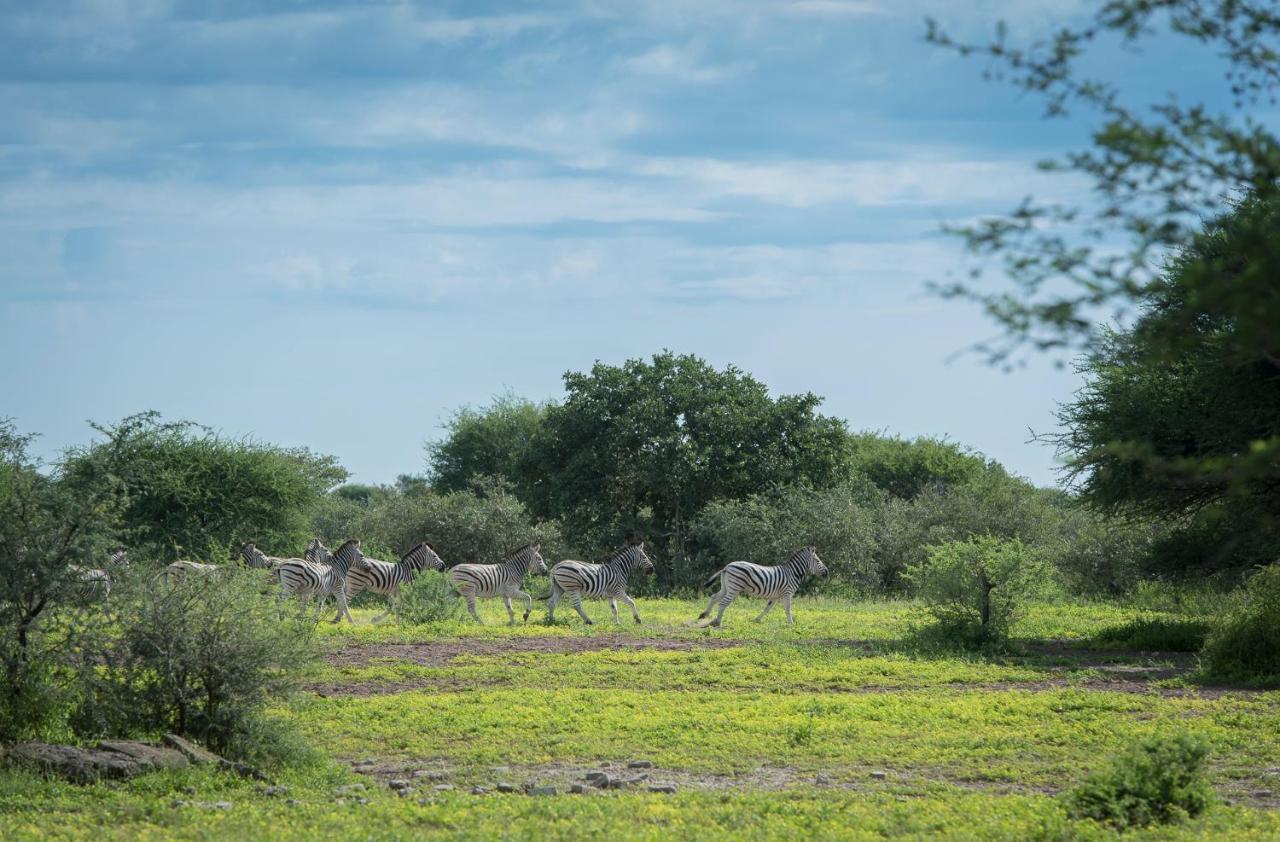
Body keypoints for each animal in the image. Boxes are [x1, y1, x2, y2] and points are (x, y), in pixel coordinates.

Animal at [701, 545, 829, 621]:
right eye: (818, 561)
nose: (827, 572)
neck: (792, 573)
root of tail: (726, 567)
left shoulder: (775, 596)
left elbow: (767, 608)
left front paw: (757, 620)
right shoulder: (787, 593)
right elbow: (788, 609)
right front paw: (791, 624)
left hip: (726, 587)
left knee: (713, 597)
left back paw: (704, 615)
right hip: (734, 588)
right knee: (723, 603)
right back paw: (717, 622)